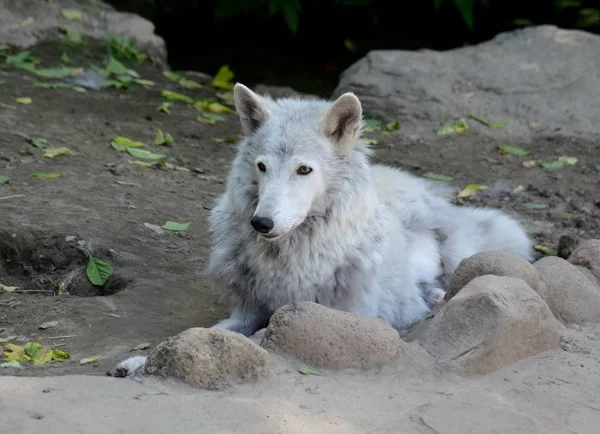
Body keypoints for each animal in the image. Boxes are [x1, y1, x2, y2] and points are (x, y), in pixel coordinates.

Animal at [115, 84, 532, 376]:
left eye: (304, 170)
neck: (292, 255)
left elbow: (262, 340)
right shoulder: (249, 310)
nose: (261, 223)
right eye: (263, 167)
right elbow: (207, 333)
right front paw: (143, 361)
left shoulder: (331, 319)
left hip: (456, 248)